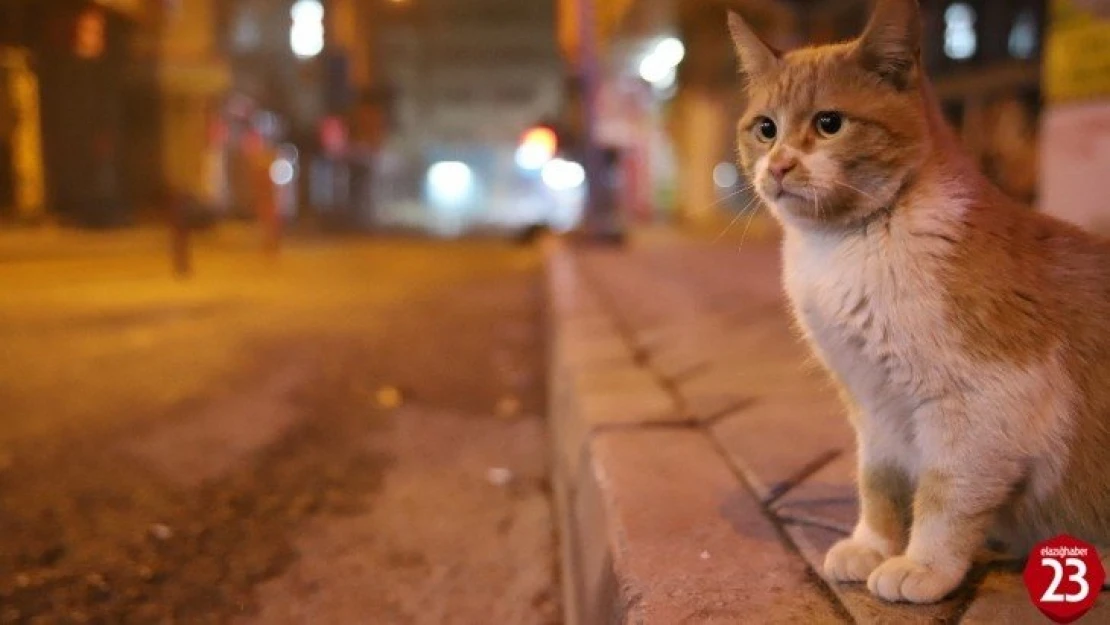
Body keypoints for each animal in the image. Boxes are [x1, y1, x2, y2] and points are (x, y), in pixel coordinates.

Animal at [728, 0, 1110, 608]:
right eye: (766, 129)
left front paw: (922, 564)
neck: (849, 245)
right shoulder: (872, 403)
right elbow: (878, 483)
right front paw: (873, 546)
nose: (780, 165)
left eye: (829, 123)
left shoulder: (985, 402)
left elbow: (945, 494)